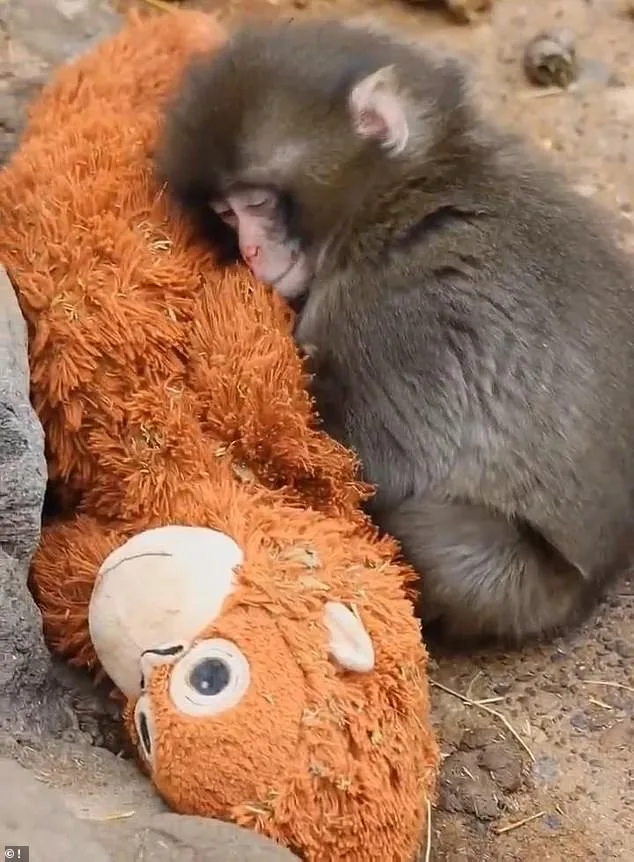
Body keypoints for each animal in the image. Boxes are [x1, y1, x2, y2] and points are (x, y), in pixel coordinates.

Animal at [156, 18, 634, 645]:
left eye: (256, 202)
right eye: (227, 214)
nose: (250, 251)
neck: (399, 193)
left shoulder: (398, 309)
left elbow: (382, 462)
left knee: (434, 539)